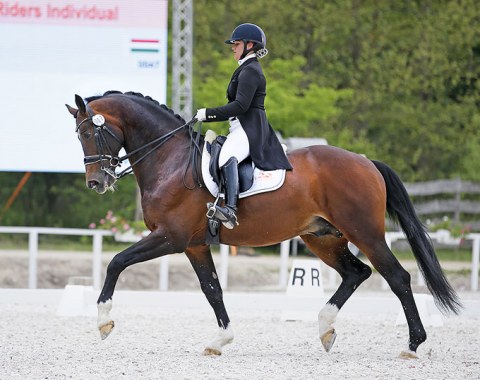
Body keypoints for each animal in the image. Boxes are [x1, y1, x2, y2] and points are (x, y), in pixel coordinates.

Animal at [65, 90, 460, 358]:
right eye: (78, 135)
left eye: (91, 133)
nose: (96, 183)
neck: (170, 160)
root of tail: (366, 162)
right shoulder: (194, 244)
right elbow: (212, 289)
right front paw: (219, 340)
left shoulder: (170, 238)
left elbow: (116, 262)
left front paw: (103, 322)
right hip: (322, 237)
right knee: (356, 273)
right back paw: (325, 328)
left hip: (365, 233)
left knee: (398, 278)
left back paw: (412, 345)